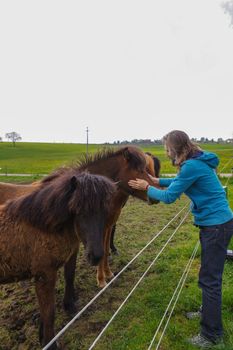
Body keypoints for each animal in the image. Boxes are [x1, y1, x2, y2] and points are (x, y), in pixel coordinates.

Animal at [0, 172, 116, 348]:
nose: (96, 256)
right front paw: (50, 344)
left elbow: (45, 310)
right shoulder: (45, 275)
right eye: (79, 211)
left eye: (104, 211)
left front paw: (42, 336)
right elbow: (49, 313)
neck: (40, 226)